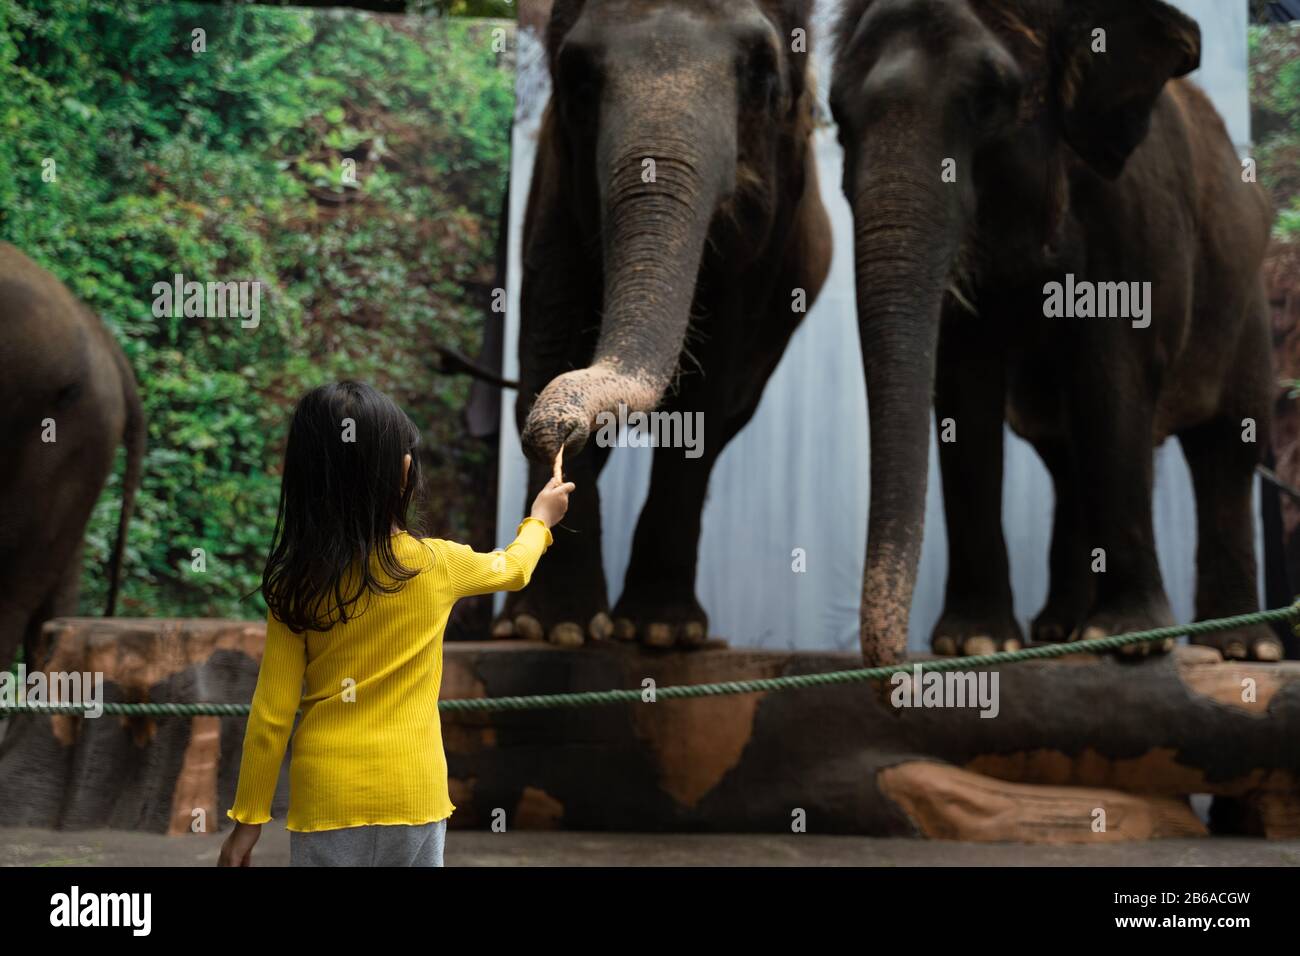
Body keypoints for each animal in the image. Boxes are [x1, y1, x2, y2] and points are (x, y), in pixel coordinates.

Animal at [494, 0, 832, 647]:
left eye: (761, 73)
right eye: (577, 75)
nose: (555, 427)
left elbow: (712, 372)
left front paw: (661, 633)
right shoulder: (552, 186)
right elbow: (549, 330)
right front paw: (551, 628)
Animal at [829, 0, 1278, 664]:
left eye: (990, 99)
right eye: (837, 118)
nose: (895, 662)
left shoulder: (1137, 215)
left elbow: (1115, 377)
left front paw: (1130, 642)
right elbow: (964, 387)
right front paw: (975, 643)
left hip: (1247, 302)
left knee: (1228, 445)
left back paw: (1245, 648)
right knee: (1067, 456)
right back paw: (1060, 633)